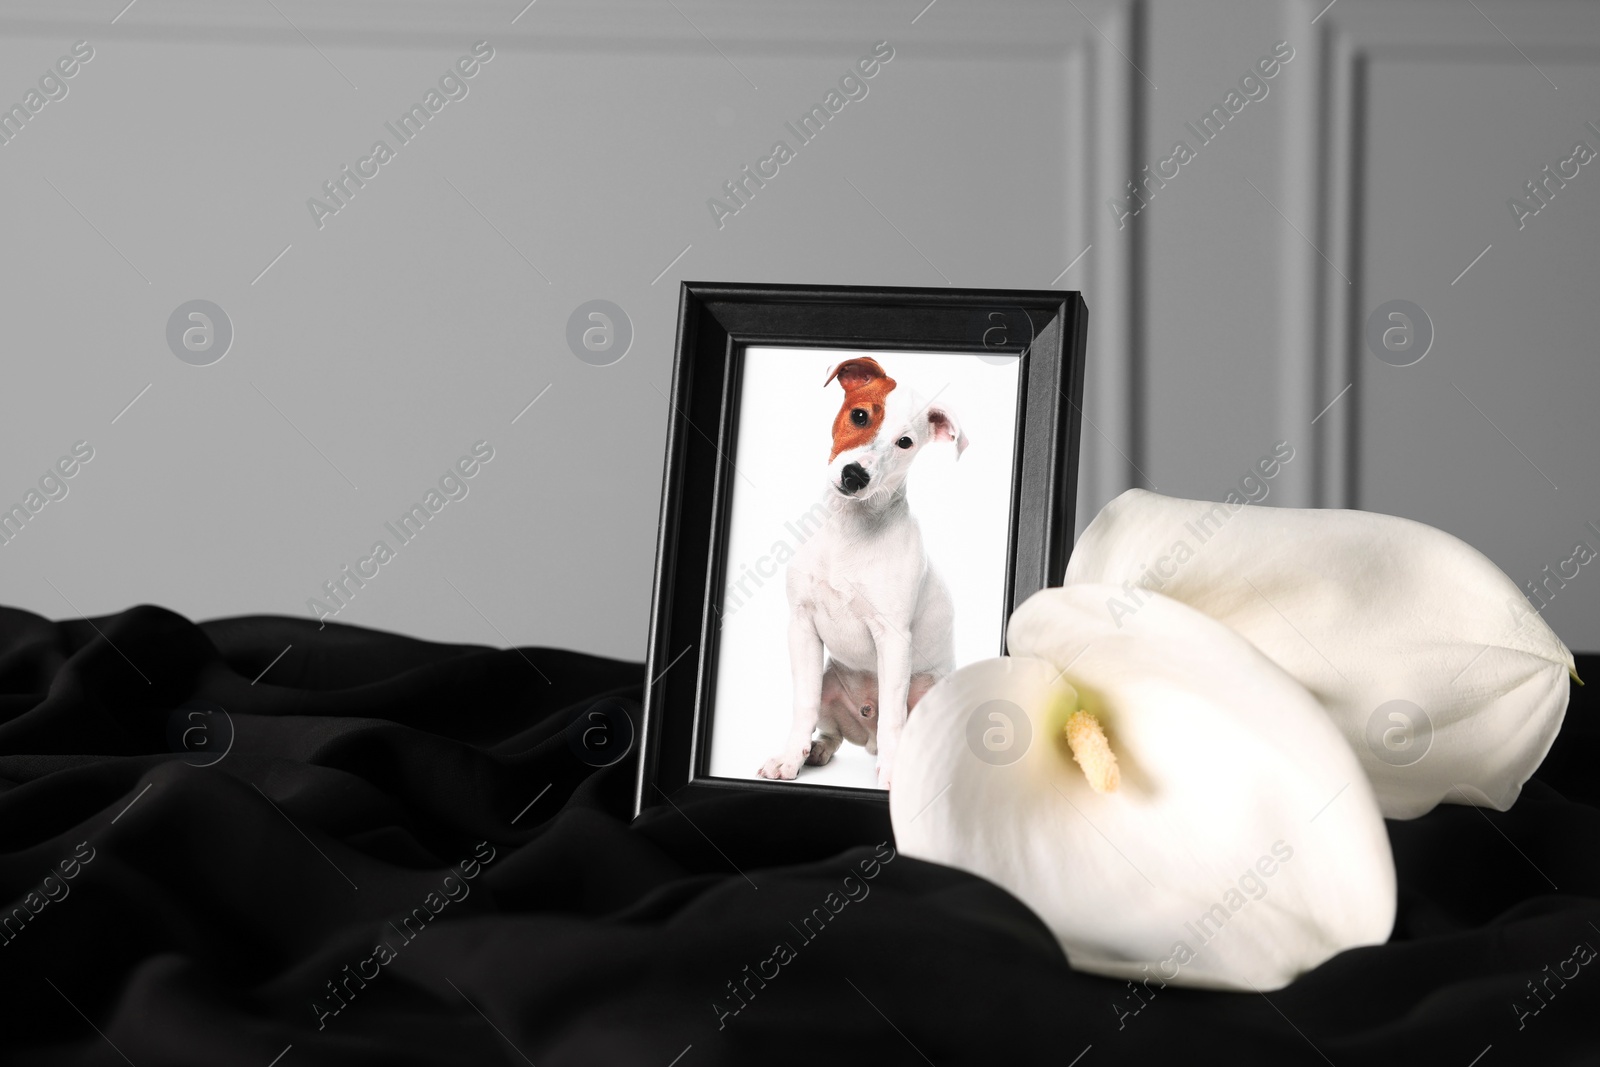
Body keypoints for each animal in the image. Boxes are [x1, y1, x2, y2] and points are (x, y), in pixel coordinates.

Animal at [758, 358, 966, 793]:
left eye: (905, 442)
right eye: (859, 416)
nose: (855, 475)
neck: (850, 531)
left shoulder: (894, 638)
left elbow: (894, 718)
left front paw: (893, 776)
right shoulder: (801, 626)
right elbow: (802, 704)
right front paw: (790, 758)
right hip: (830, 684)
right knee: (833, 734)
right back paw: (817, 751)